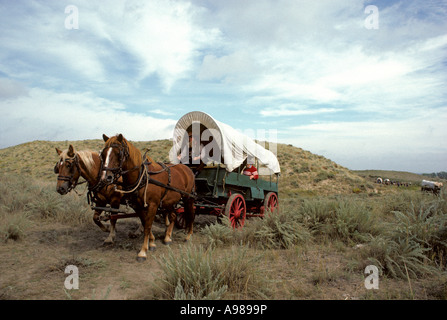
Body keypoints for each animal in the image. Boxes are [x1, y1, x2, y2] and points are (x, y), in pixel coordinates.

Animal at [101, 134, 196, 262]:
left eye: (118, 153)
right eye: (103, 154)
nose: (106, 177)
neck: (142, 177)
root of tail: (187, 169)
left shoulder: (153, 205)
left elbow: (147, 226)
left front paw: (142, 252)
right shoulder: (138, 206)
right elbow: (145, 223)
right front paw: (152, 243)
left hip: (188, 198)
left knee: (190, 215)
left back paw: (188, 235)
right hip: (169, 202)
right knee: (173, 216)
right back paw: (167, 237)